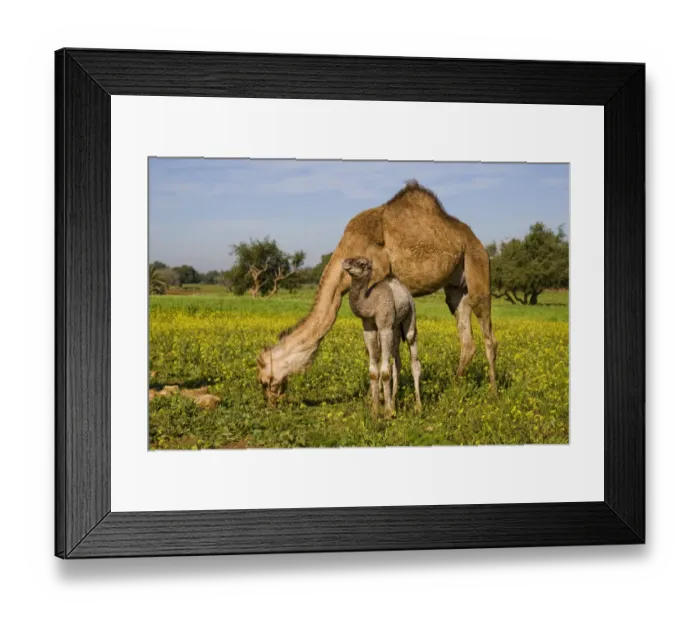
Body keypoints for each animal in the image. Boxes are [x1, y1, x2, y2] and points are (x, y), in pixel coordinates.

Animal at [342, 256, 422, 417]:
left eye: (361, 263)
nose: (345, 262)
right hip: (395, 327)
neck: (371, 303)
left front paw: (388, 412)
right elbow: (373, 372)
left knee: (413, 356)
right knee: (397, 361)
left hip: (410, 314)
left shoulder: (384, 327)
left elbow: (385, 372)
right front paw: (375, 410)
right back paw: (394, 398)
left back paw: (418, 406)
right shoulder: (369, 328)